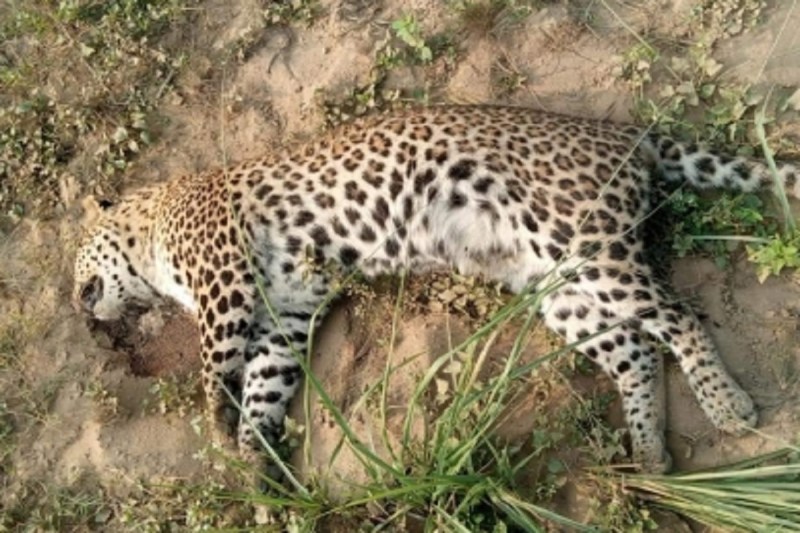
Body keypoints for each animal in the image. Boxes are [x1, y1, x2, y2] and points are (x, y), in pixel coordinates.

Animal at [73, 105, 800, 475]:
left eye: (75, 262)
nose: (83, 309)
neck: (154, 222)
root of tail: (630, 133)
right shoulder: (287, 312)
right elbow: (265, 382)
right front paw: (258, 462)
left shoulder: (222, 276)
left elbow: (213, 361)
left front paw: (220, 426)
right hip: (557, 284)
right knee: (636, 352)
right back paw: (650, 454)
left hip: (584, 248)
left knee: (677, 314)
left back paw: (728, 405)